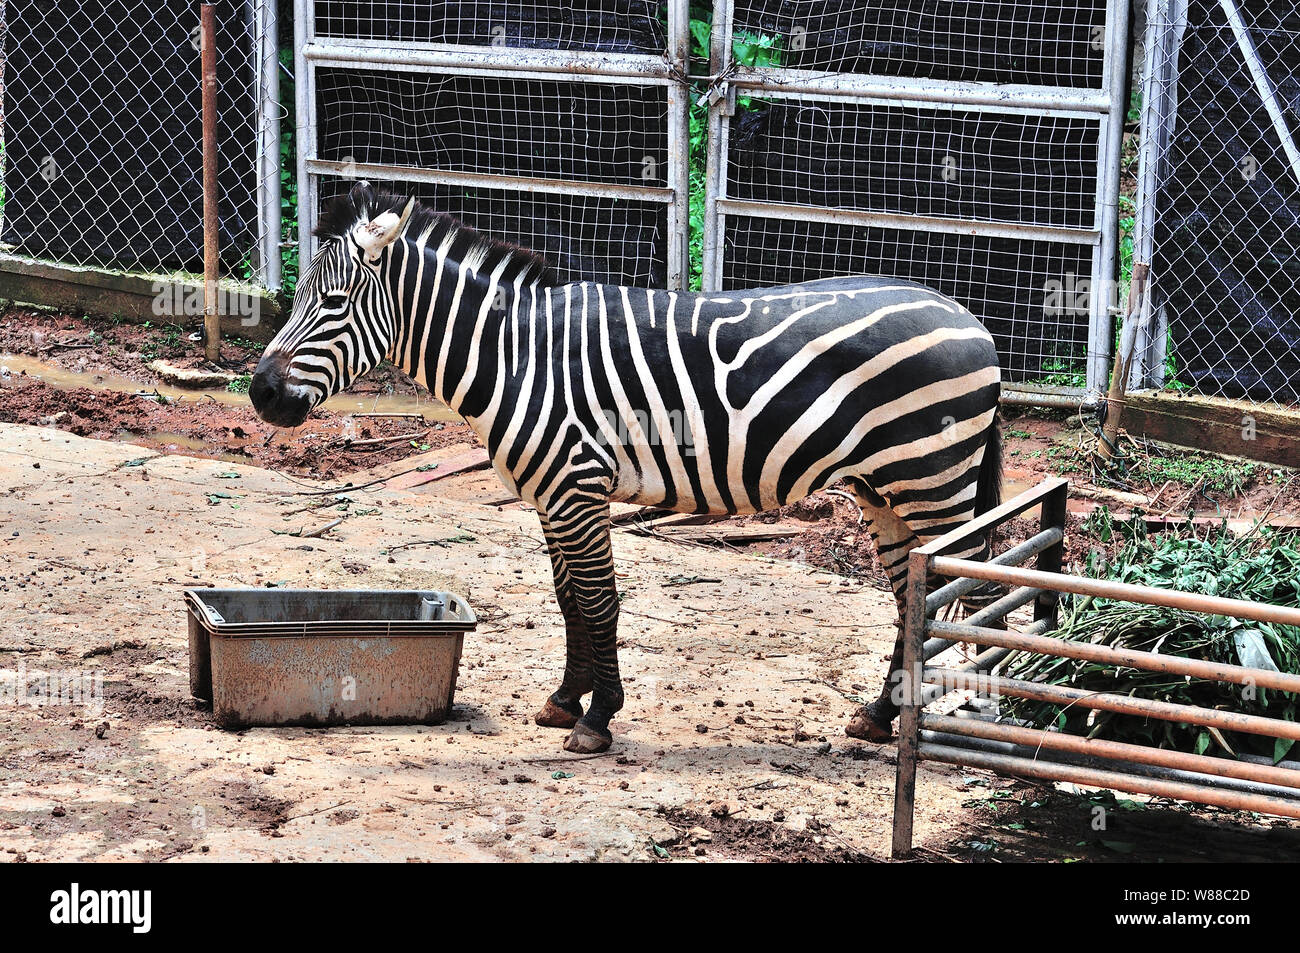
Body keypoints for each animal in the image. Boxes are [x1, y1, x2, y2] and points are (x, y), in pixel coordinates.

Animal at [250, 183, 1003, 754]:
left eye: (333, 304)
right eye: (298, 297)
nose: (260, 394)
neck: (514, 352)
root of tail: (970, 317)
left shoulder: (577, 486)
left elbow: (600, 601)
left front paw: (597, 718)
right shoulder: (550, 495)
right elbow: (568, 601)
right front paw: (563, 699)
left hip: (933, 481)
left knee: (960, 589)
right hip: (885, 488)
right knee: (911, 593)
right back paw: (880, 715)